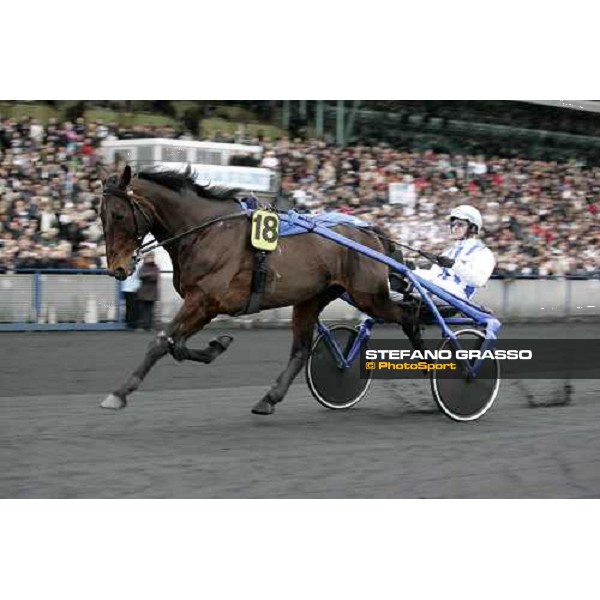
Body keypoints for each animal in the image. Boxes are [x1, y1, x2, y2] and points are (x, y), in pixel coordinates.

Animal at [97, 166, 422, 414]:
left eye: (119, 215)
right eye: (101, 216)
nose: (117, 269)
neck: (207, 230)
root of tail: (371, 231)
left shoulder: (203, 301)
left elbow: (160, 342)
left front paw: (119, 393)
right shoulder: (202, 304)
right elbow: (175, 346)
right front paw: (217, 345)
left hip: (369, 296)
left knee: (409, 316)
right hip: (311, 299)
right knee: (301, 351)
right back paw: (269, 399)